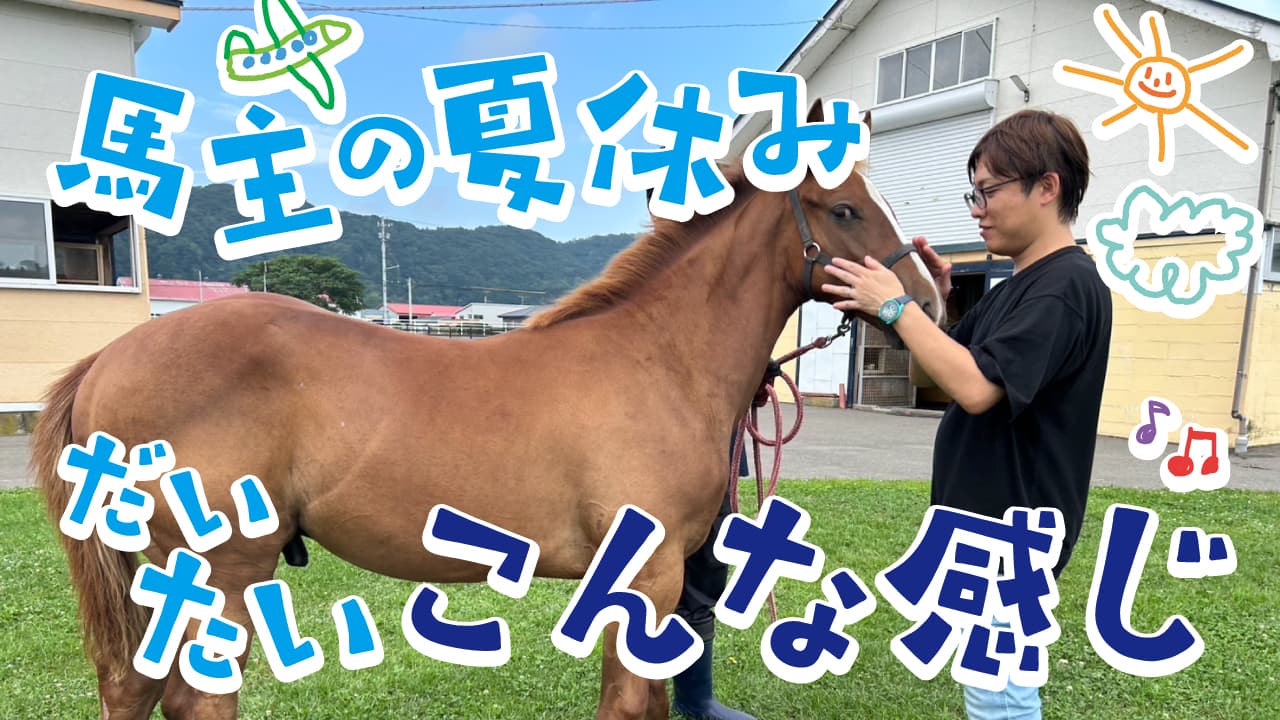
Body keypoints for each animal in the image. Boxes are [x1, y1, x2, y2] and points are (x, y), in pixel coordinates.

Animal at [31, 103, 942, 719]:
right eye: (846, 208)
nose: (930, 297)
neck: (658, 357)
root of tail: (108, 358)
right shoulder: (645, 578)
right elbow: (629, 703)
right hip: (217, 572)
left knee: (132, 688)